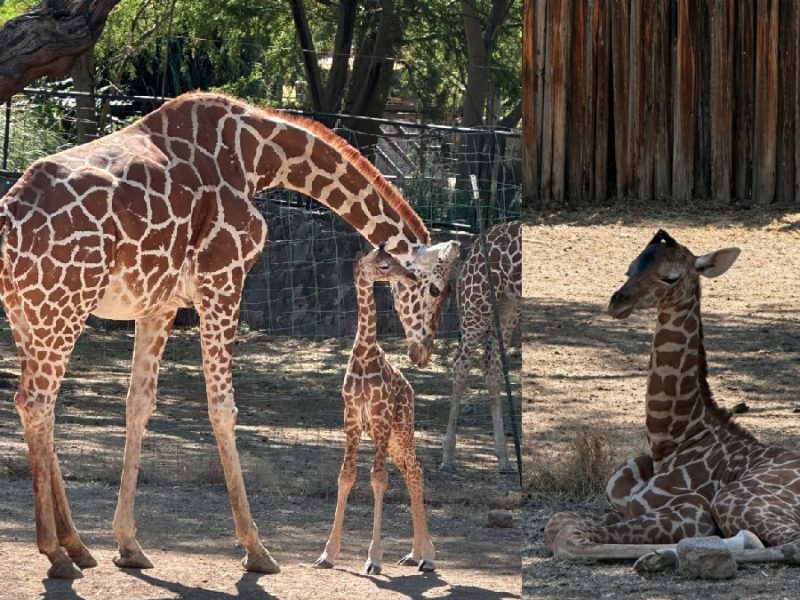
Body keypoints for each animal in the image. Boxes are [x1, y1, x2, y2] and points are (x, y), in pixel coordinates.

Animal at [313, 247, 440, 575]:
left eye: (396, 260)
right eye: (384, 264)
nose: (410, 277)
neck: (364, 353)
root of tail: (411, 390)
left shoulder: (380, 417)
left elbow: (378, 479)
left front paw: (374, 558)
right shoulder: (352, 418)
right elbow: (346, 476)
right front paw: (327, 554)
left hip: (402, 430)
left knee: (416, 472)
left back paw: (428, 556)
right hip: (391, 440)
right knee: (411, 472)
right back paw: (414, 554)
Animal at [439, 221, 521, 474]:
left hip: (507, 305)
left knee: (491, 365)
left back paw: (504, 459)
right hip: (478, 305)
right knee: (461, 363)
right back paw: (448, 458)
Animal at [545, 230, 800, 566]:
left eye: (670, 277)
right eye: (629, 269)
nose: (617, 302)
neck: (670, 440)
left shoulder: (693, 511)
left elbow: (567, 537)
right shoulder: (623, 505)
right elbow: (558, 522)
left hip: (732, 498)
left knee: (793, 545)